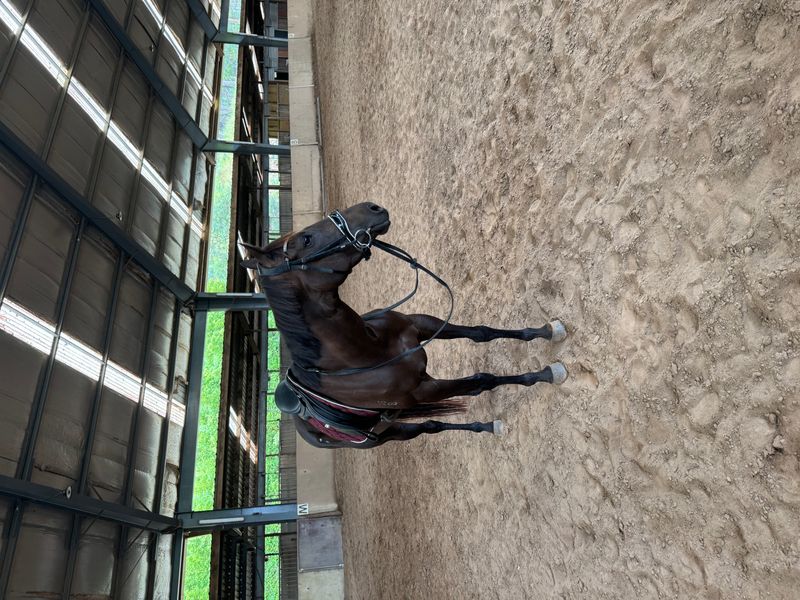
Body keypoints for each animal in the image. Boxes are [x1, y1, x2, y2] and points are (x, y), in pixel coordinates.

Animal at [241, 202, 568, 449]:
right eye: (306, 239)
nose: (372, 207)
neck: (368, 351)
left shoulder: (420, 325)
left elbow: (481, 333)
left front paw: (548, 331)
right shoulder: (424, 391)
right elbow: (482, 380)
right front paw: (546, 374)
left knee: (433, 424)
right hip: (391, 434)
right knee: (429, 427)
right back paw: (487, 426)